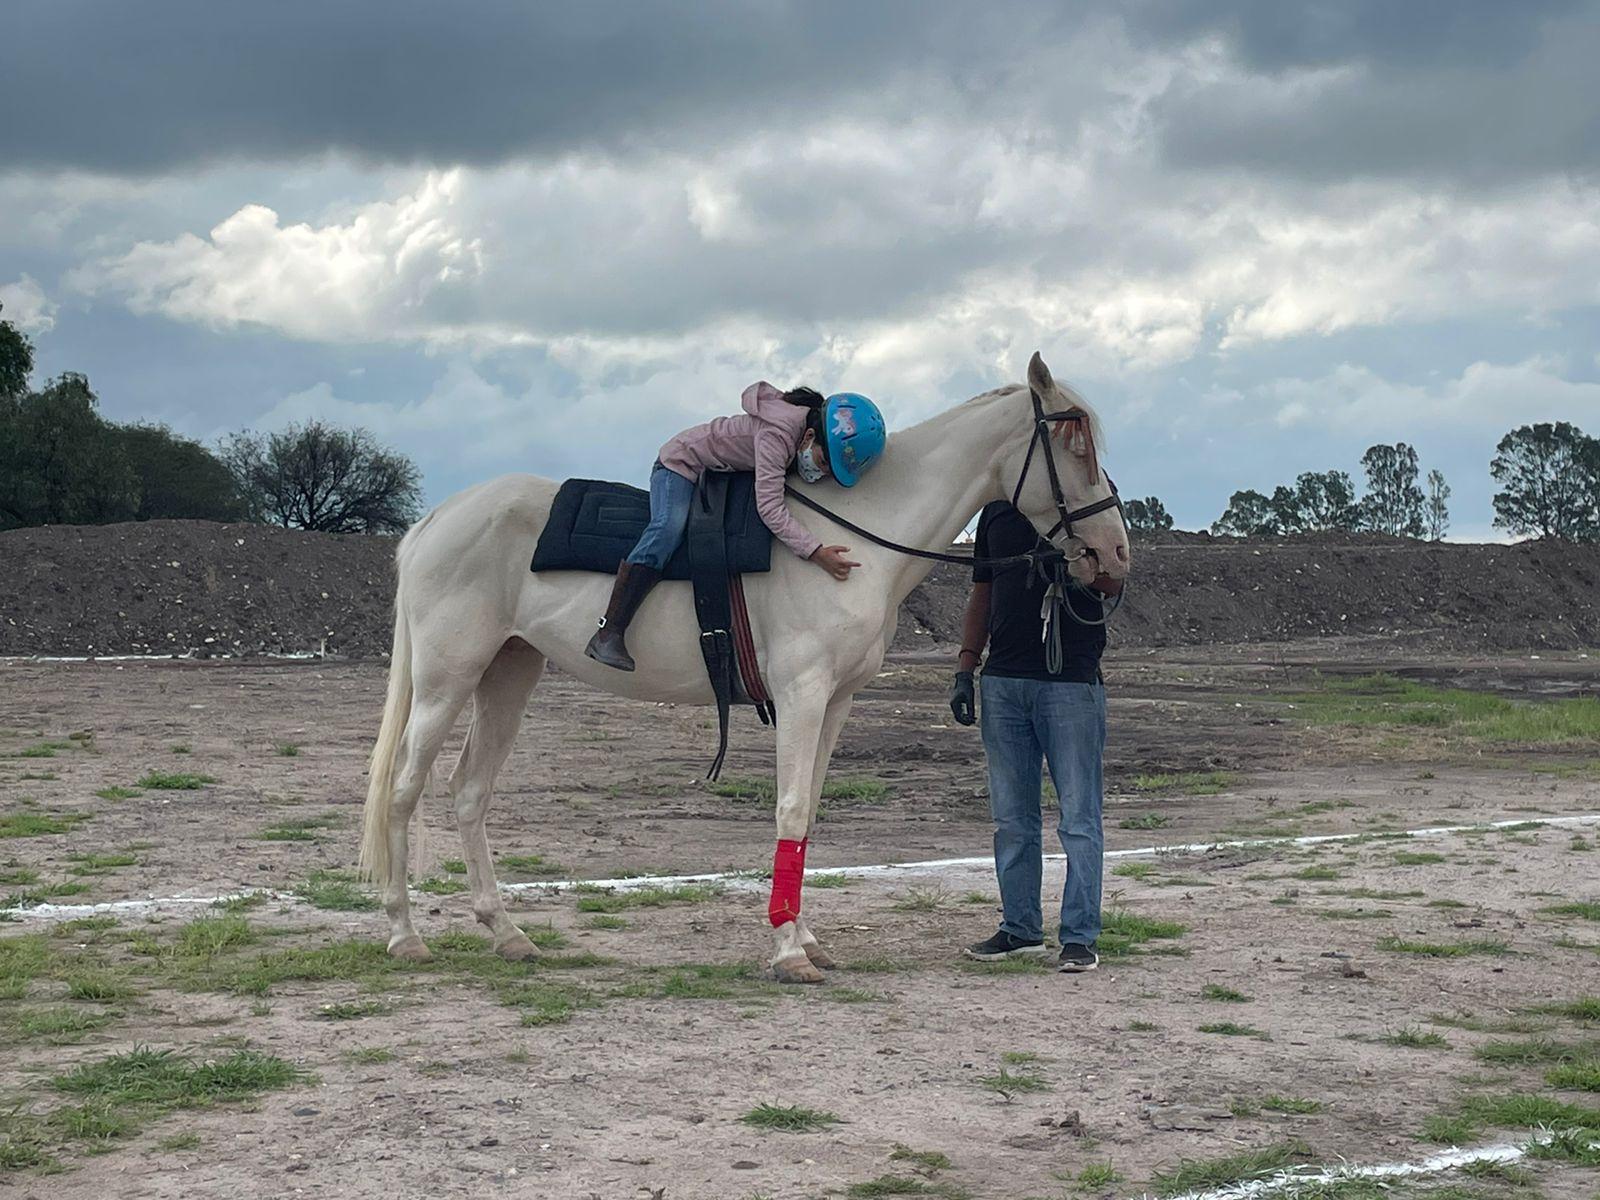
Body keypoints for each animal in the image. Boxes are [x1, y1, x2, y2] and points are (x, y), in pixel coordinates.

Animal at [356, 350, 1132, 985]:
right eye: (1074, 440)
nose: (1115, 555)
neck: (852, 536)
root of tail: (435, 520)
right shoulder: (803, 695)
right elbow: (788, 808)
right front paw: (788, 951)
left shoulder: (836, 703)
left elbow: (807, 812)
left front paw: (806, 938)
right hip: (446, 683)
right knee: (402, 789)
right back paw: (402, 935)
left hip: (508, 676)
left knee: (468, 792)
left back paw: (506, 933)